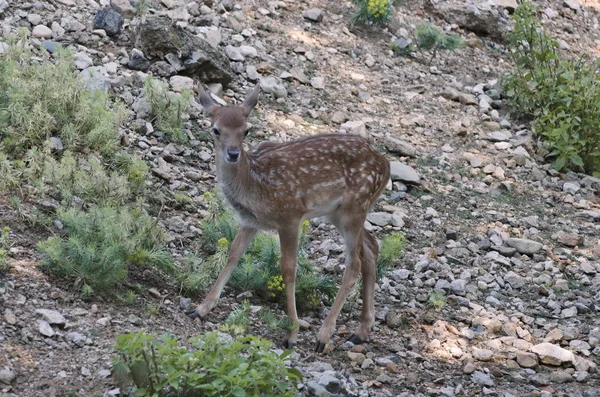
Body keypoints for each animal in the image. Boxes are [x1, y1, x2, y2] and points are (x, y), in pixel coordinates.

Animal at [189, 83, 394, 352]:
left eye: (246, 130)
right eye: (216, 129)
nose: (233, 154)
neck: (254, 184)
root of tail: (387, 165)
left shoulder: (290, 216)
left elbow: (288, 269)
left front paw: (292, 333)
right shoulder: (250, 221)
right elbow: (232, 255)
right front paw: (201, 308)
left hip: (354, 207)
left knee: (354, 264)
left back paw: (324, 336)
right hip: (340, 212)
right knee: (371, 246)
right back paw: (361, 331)